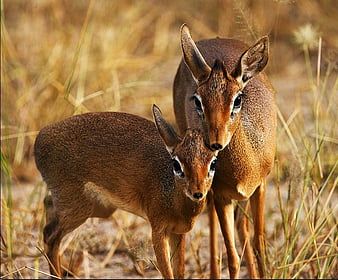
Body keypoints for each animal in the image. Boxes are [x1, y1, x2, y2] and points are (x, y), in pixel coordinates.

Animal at [34, 104, 218, 278]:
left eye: (213, 162)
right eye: (176, 163)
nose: (197, 192)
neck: (172, 196)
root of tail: (40, 138)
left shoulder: (179, 232)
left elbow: (179, 272)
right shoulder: (158, 230)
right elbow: (167, 273)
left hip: (96, 208)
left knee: (47, 206)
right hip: (77, 208)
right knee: (49, 234)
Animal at [173, 23, 276, 278]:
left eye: (237, 99)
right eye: (197, 100)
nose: (215, 143)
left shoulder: (260, 187)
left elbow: (259, 246)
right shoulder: (221, 195)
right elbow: (232, 258)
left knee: (242, 228)